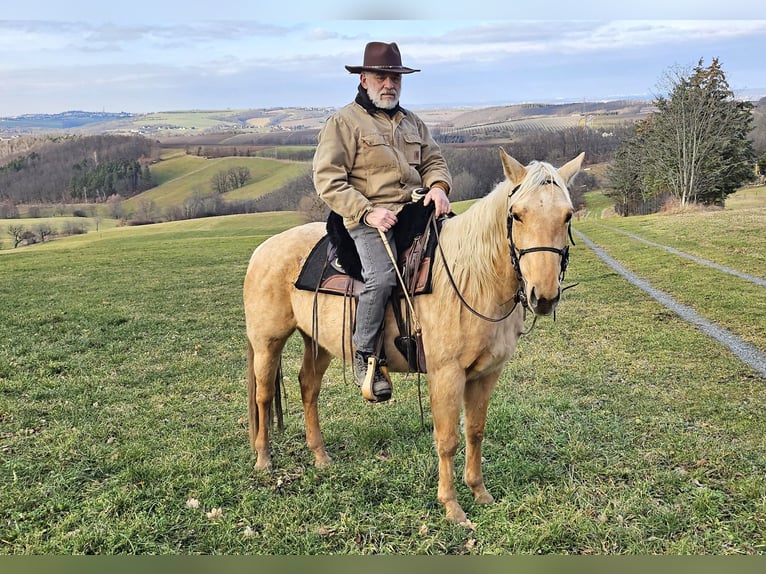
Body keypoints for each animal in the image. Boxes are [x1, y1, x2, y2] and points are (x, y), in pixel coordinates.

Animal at [243, 150, 584, 528]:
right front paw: (452, 507)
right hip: (267, 341)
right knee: (262, 396)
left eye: (567, 215)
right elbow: (447, 439)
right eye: (517, 215)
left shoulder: (485, 374)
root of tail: (263, 250)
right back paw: (263, 459)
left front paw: (480, 493)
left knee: (308, 387)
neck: (472, 278)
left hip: (317, 342)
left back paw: (320, 456)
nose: (544, 295)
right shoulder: (446, 374)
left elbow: (475, 431)